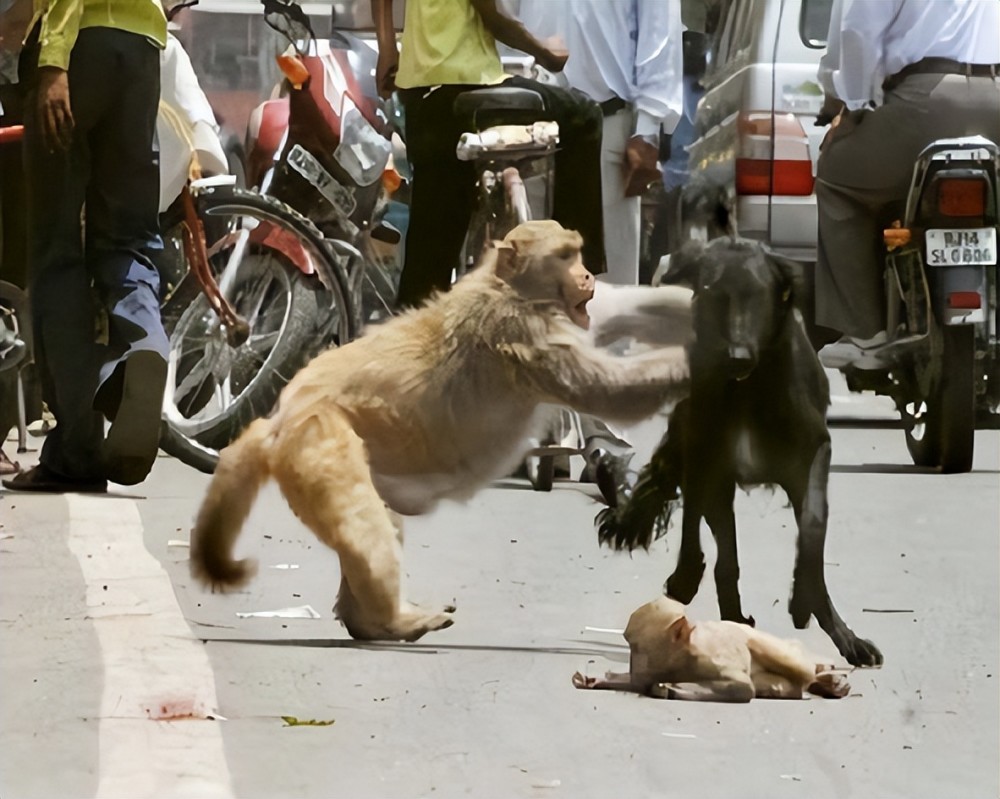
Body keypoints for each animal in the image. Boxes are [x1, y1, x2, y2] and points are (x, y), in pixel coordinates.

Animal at [189, 220, 688, 644]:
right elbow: (606, 391)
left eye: (578, 254)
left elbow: (619, 311)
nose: (586, 276)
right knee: (364, 526)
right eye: (565, 256)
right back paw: (395, 621)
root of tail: (281, 416)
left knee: (381, 523)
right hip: (319, 443)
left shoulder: (562, 317)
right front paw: (696, 364)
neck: (507, 287)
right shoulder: (523, 333)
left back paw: (367, 623)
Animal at [572, 596, 852, 704]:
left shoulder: (706, 661)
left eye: (635, 646)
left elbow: (743, 688)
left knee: (795, 666)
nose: (633, 661)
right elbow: (636, 683)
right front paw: (597, 680)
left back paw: (825, 678)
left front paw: (673, 690)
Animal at [592, 236, 884, 668]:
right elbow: (713, 548)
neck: (750, 386)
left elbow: (813, 529)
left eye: (760, 295)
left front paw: (809, 606)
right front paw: (702, 591)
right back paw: (710, 599)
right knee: (707, 536)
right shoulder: (709, 457)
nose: (736, 355)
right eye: (713, 293)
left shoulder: (813, 453)